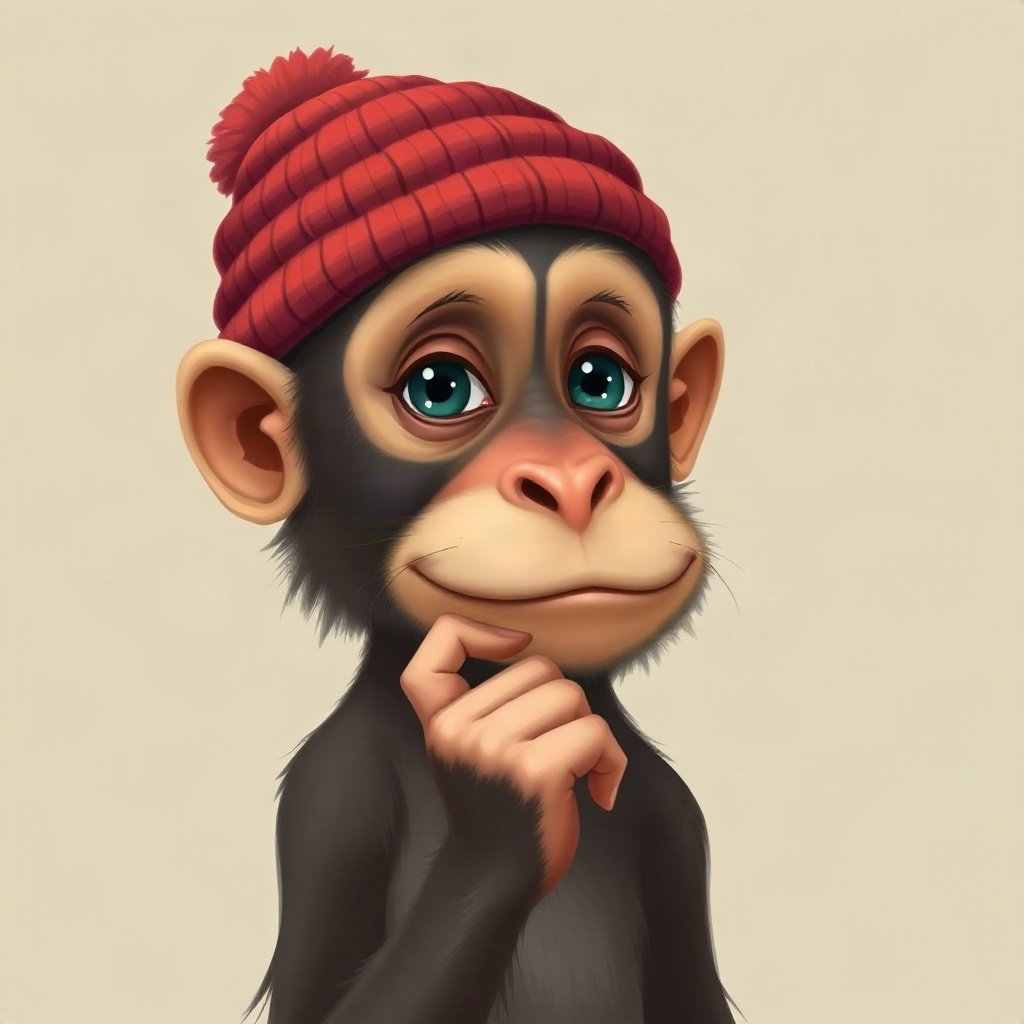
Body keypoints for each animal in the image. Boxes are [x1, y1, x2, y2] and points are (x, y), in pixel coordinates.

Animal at [176, 47, 736, 1024]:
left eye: (601, 378)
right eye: (439, 387)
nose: (571, 485)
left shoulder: (679, 826)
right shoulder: (331, 805)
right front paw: (506, 780)